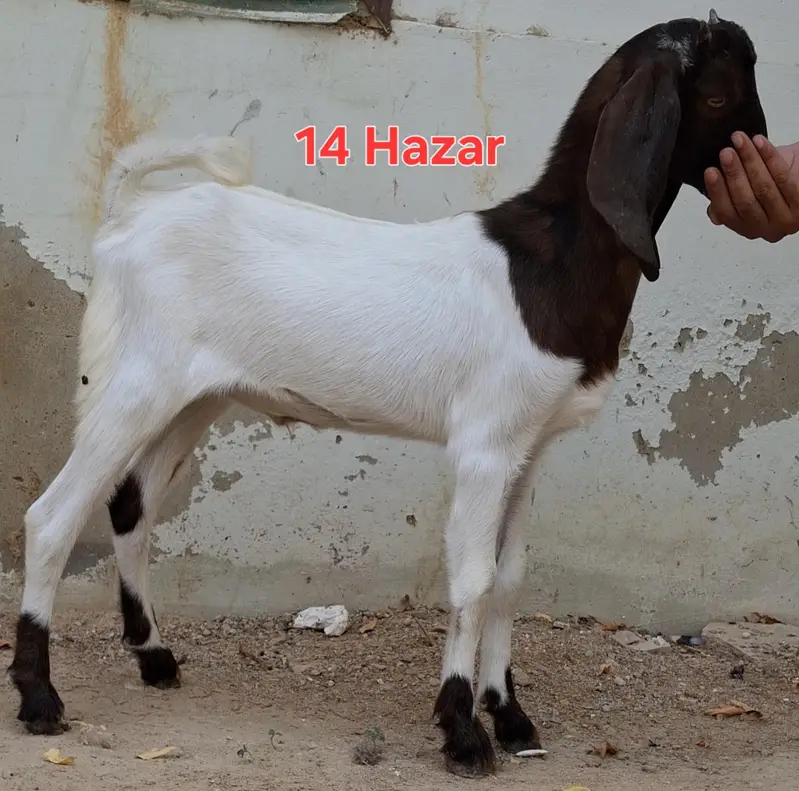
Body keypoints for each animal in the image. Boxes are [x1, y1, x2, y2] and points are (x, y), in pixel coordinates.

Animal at [9, 9, 767, 778]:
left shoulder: (529, 448)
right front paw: (463, 731)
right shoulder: (483, 447)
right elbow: (472, 579)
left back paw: (156, 657)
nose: (760, 157)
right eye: (715, 95)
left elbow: (511, 577)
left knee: (130, 506)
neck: (549, 262)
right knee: (53, 516)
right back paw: (40, 698)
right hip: (131, 384)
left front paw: (511, 716)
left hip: (193, 399)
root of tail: (126, 216)